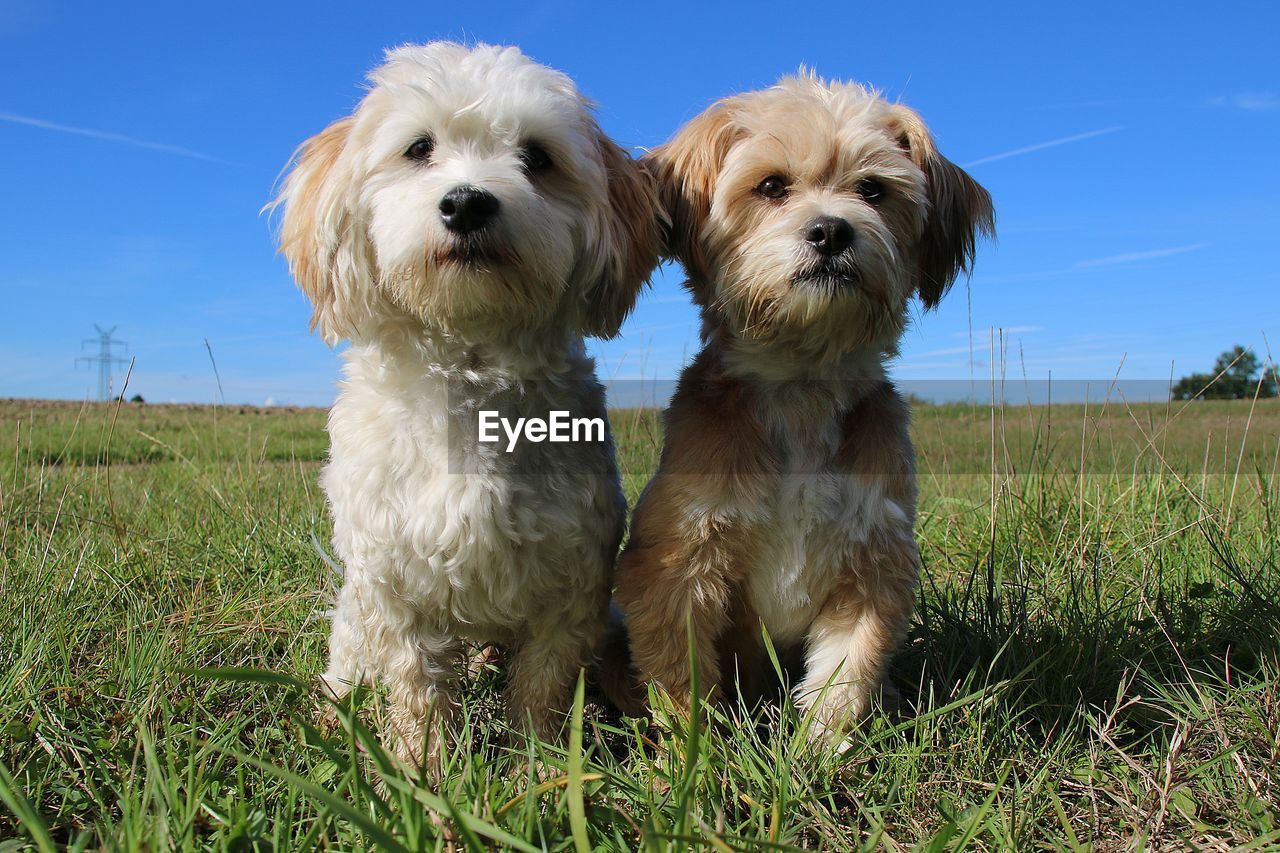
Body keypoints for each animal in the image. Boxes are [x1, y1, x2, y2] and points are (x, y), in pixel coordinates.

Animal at [272, 41, 660, 763]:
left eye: (537, 156)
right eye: (418, 148)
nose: (467, 203)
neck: (471, 374)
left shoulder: (571, 583)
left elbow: (541, 685)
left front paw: (537, 765)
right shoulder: (395, 582)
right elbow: (415, 690)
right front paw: (421, 769)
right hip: (355, 611)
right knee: (348, 664)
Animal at [614, 71, 993, 737]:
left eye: (872, 190)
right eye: (771, 186)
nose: (832, 230)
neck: (802, 387)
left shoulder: (874, 563)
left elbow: (846, 673)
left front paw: (820, 750)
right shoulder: (678, 560)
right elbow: (683, 679)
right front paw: (697, 752)